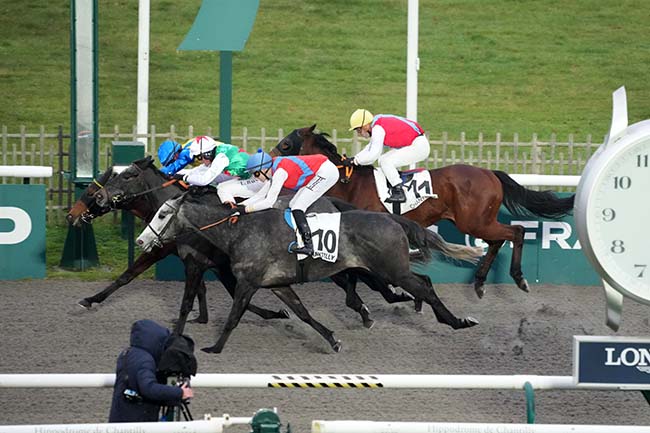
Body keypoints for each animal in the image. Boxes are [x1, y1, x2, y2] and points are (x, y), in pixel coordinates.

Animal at [138, 191, 480, 352]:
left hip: (392, 269)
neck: (238, 232)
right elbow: (302, 313)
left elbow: (235, 316)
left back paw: (456, 321)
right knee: (420, 284)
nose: (142, 240)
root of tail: (393, 219)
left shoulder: (248, 282)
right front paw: (332, 340)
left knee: (424, 286)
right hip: (388, 268)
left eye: (163, 214)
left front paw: (214, 347)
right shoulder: (276, 284)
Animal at [270, 126, 576, 298]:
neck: (348, 182)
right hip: (478, 222)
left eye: (286, 144)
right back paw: (478, 283)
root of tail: (491, 173)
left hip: (475, 222)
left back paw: (519, 278)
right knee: (498, 241)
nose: (268, 160)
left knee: (516, 231)